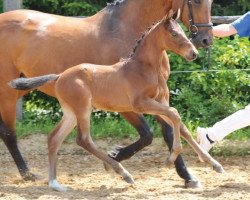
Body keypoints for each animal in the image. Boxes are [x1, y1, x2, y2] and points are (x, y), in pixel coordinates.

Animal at [10, 13, 224, 191]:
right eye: (173, 33)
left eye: (184, 31)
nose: (194, 53)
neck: (143, 69)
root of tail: (59, 76)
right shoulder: (141, 104)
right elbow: (175, 114)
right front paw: (171, 158)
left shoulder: (159, 102)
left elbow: (181, 125)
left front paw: (214, 164)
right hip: (83, 108)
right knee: (83, 139)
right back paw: (123, 173)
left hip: (70, 112)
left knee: (54, 138)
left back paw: (55, 184)